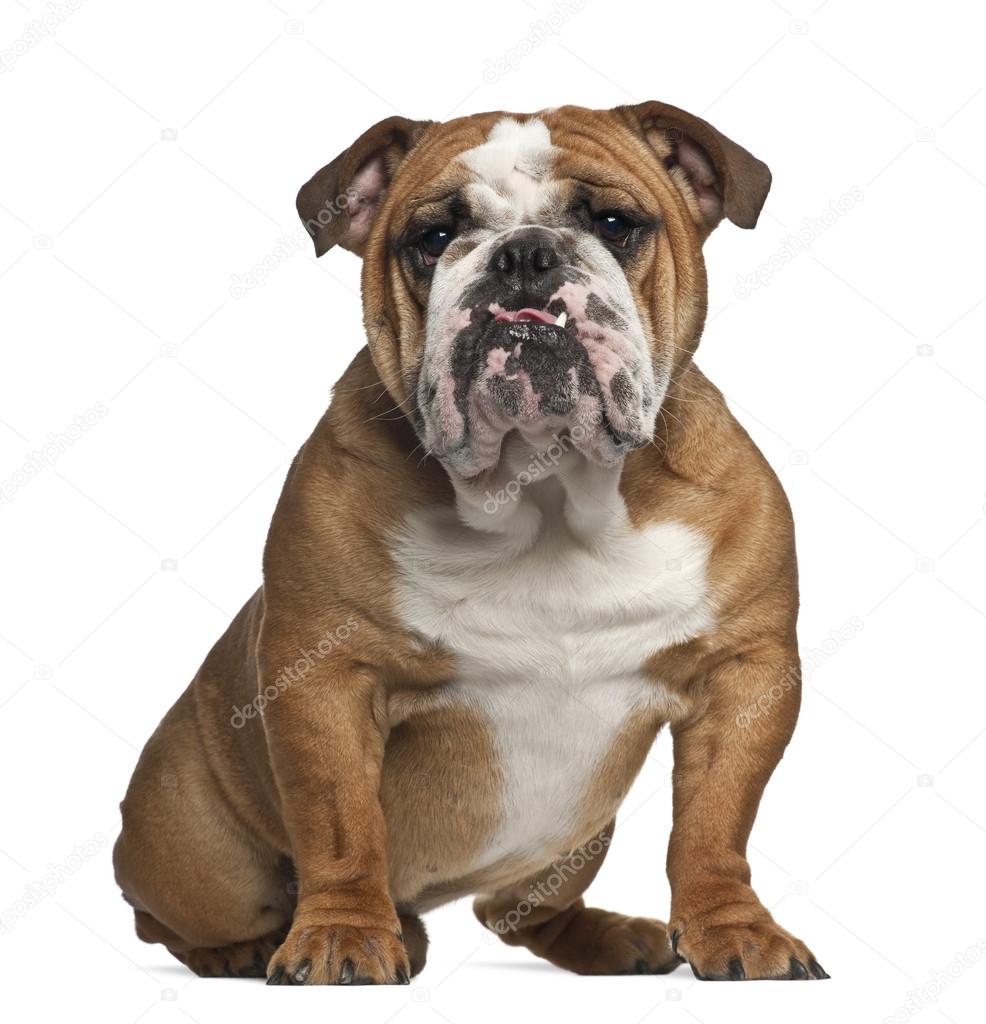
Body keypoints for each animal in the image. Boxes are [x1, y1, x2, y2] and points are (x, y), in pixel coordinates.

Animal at [111, 101, 827, 983]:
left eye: (614, 224)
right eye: (433, 238)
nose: (523, 256)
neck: (544, 492)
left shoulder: (746, 668)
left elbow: (716, 822)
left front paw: (735, 929)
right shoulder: (323, 675)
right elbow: (341, 823)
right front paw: (343, 936)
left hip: (574, 840)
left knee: (515, 910)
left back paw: (608, 939)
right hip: (198, 855)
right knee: (167, 916)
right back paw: (253, 947)